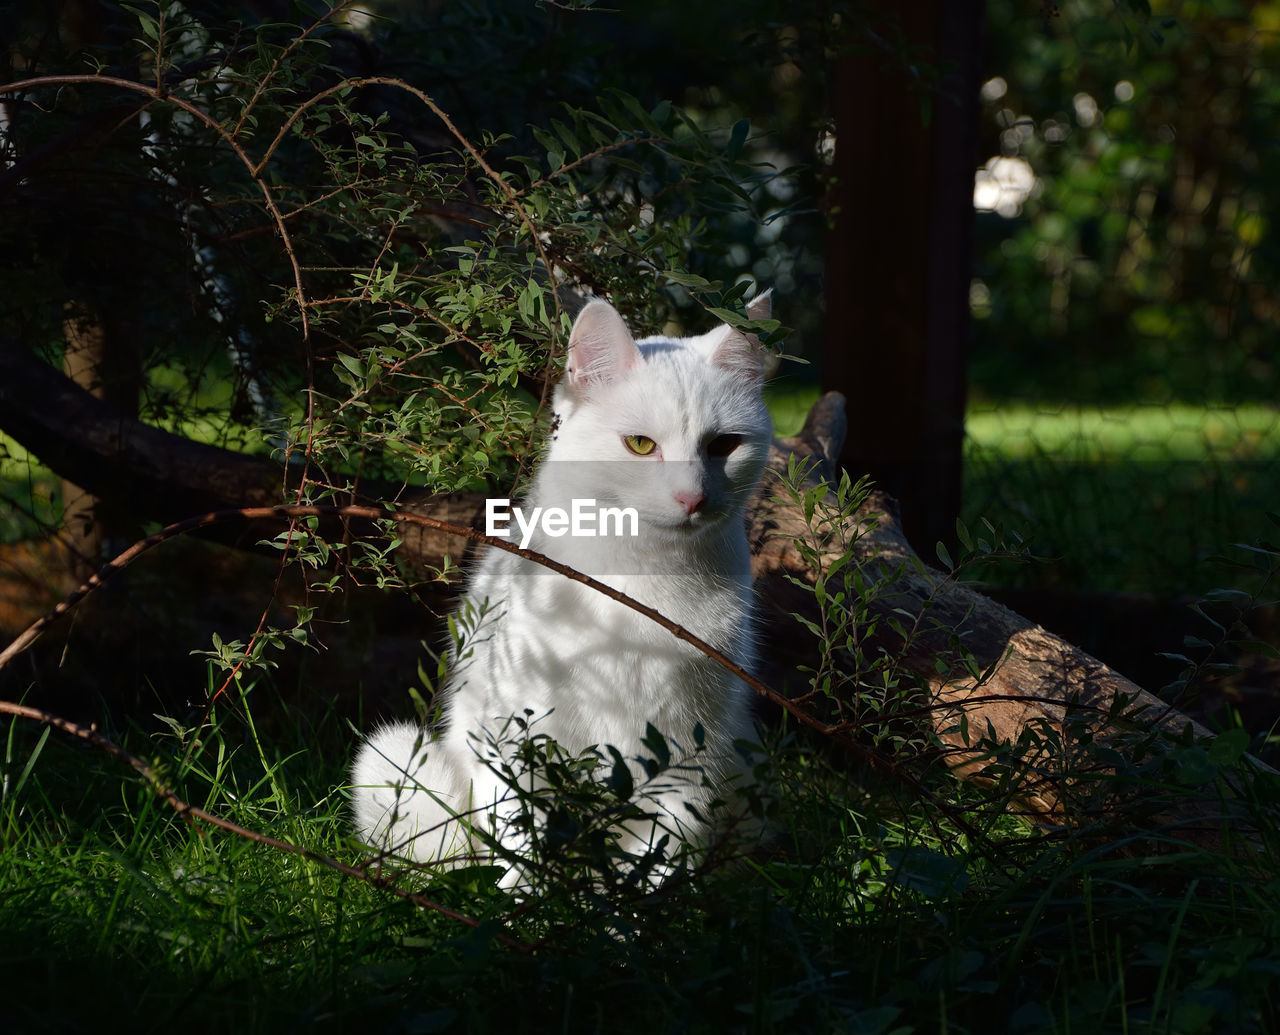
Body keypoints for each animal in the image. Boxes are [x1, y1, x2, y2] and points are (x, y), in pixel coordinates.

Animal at [348, 292, 768, 880]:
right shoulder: (514, 741)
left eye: (725, 445)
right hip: (395, 759)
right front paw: (532, 904)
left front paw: (636, 906)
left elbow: (660, 862)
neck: (645, 580)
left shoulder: (692, 757)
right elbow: (523, 849)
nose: (693, 498)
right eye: (641, 445)